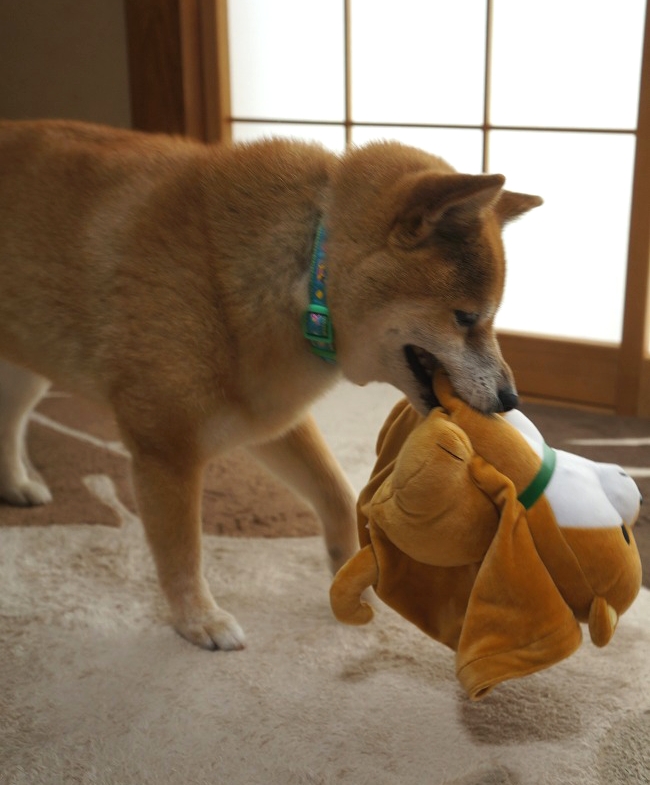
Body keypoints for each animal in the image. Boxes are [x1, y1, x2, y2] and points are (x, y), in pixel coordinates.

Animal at [0, 120, 542, 650]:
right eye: (466, 318)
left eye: (490, 318)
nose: (510, 398)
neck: (308, 276)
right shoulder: (165, 450)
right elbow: (182, 551)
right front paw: (198, 620)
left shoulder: (268, 418)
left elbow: (336, 493)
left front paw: (349, 576)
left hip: (26, 374)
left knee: (10, 422)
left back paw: (17, 484)